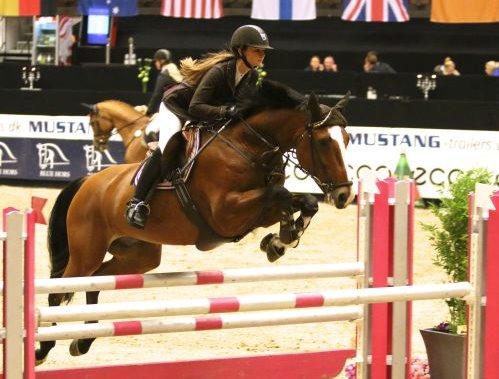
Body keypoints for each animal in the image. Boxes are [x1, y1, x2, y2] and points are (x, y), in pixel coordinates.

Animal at [37, 82, 354, 366]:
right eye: (324, 142)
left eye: (348, 139)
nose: (344, 195)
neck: (249, 148)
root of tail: (88, 182)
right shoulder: (226, 213)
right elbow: (281, 194)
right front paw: (280, 238)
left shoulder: (254, 213)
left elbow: (303, 202)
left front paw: (279, 241)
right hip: (86, 252)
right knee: (60, 291)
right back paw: (43, 349)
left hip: (139, 256)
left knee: (97, 282)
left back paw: (83, 340)